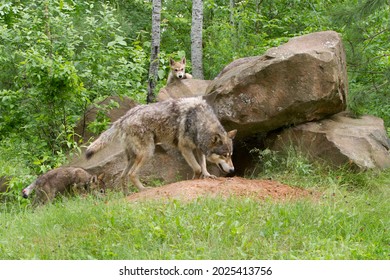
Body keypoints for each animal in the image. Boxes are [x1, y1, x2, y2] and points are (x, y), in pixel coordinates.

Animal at [85, 97, 236, 194]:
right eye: (224, 155)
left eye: (231, 155)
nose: (233, 170)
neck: (199, 120)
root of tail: (123, 118)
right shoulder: (185, 148)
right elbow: (197, 168)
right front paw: (195, 179)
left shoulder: (198, 148)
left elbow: (203, 165)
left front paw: (207, 175)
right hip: (148, 153)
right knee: (132, 174)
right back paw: (143, 190)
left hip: (133, 157)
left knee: (123, 175)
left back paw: (127, 195)